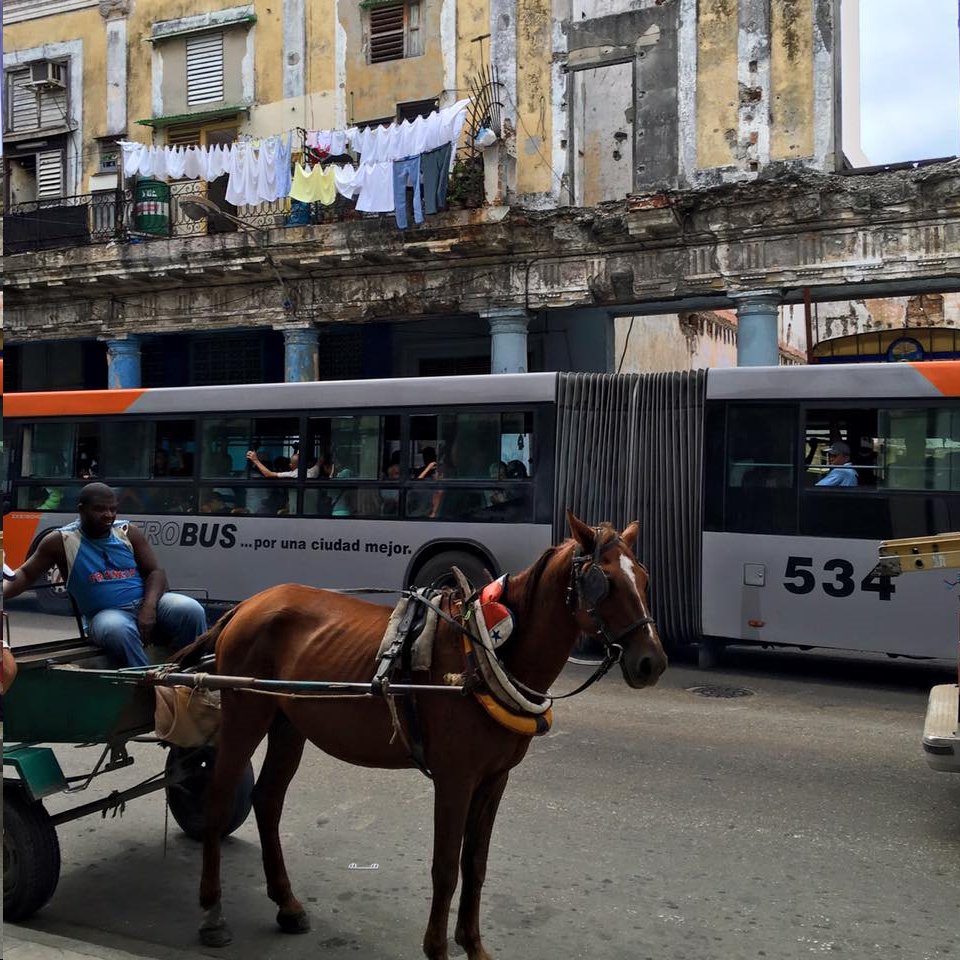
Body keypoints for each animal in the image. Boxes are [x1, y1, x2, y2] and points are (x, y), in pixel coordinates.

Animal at [174, 516, 668, 960]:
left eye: (644, 578)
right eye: (604, 583)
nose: (653, 663)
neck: (489, 650)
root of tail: (246, 605)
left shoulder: (494, 779)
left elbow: (475, 864)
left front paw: (473, 945)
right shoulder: (455, 778)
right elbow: (446, 868)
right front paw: (438, 948)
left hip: (288, 724)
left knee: (268, 800)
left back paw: (287, 904)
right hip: (245, 715)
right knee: (219, 800)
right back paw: (212, 911)